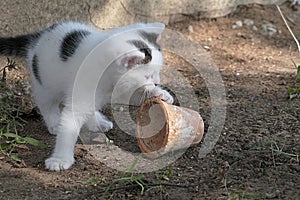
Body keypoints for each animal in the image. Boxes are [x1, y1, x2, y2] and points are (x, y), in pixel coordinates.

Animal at [0, 21, 173, 172]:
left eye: (157, 73)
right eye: (148, 76)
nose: (157, 82)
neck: (109, 79)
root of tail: (38, 36)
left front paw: (162, 94)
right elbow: (69, 127)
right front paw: (60, 159)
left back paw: (97, 122)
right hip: (45, 83)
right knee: (46, 103)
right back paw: (54, 123)